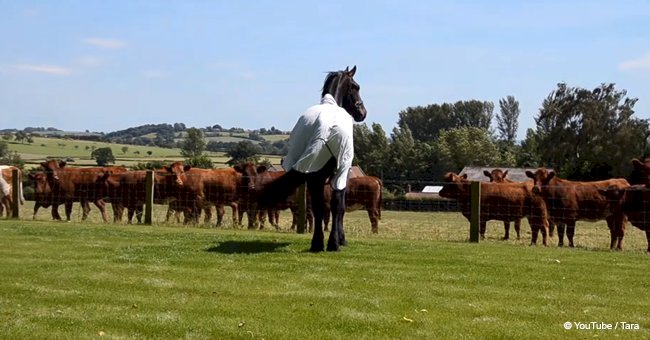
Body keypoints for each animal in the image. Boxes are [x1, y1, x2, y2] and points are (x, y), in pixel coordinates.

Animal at [256, 66, 364, 252]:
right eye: (355, 87)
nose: (362, 113)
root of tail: (323, 128)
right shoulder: (344, 173)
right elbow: (340, 208)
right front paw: (341, 239)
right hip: (336, 172)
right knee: (334, 205)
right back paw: (333, 243)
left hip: (314, 174)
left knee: (317, 207)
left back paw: (317, 243)